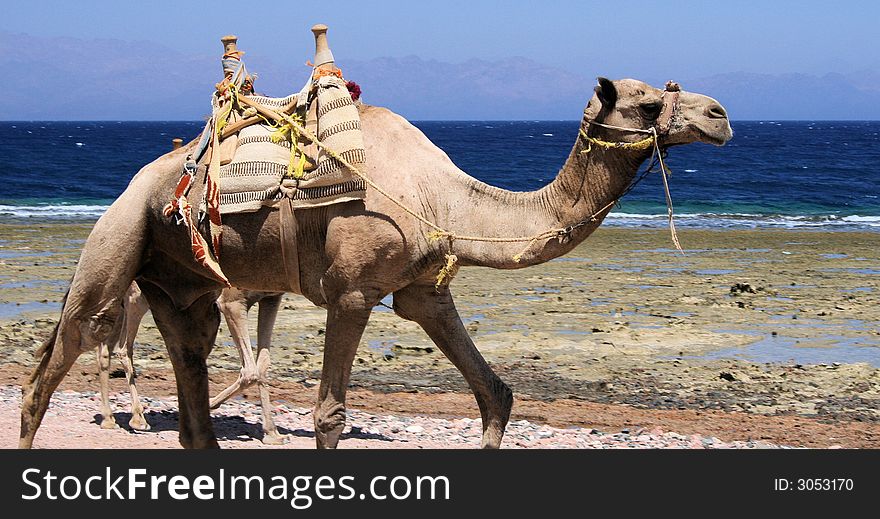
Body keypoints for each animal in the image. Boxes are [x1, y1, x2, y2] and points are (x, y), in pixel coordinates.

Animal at [96, 282, 288, 444]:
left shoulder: (270, 299)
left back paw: (108, 419)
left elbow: (262, 365)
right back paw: (138, 419)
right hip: (136, 297)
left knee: (105, 348)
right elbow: (250, 371)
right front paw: (209, 405)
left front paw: (272, 433)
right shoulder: (231, 302)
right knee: (123, 349)